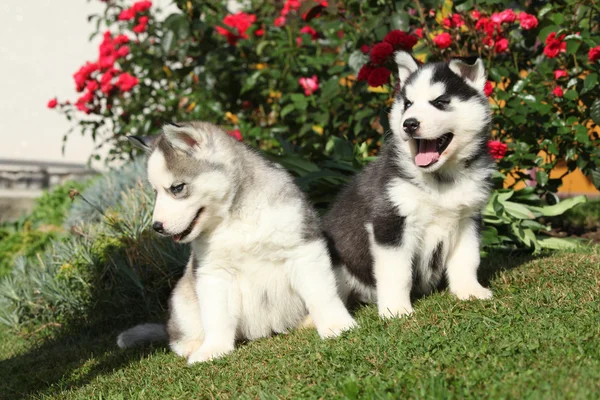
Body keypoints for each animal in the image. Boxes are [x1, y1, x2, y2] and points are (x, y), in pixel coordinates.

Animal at [326, 51, 494, 318]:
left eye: (440, 102)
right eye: (407, 104)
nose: (409, 124)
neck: (440, 180)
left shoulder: (467, 218)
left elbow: (467, 259)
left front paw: (470, 291)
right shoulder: (391, 222)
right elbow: (397, 273)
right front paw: (395, 310)